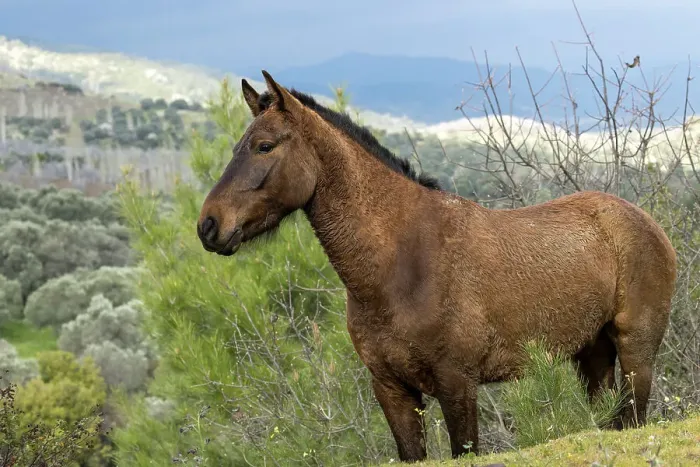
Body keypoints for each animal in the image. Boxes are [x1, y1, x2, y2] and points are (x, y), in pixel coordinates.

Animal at [197, 71, 677, 462]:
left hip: (636, 354)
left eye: (264, 146)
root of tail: (646, 221)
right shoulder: (393, 390)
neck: (402, 264)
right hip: (592, 355)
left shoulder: (456, 385)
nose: (209, 225)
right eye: (238, 146)